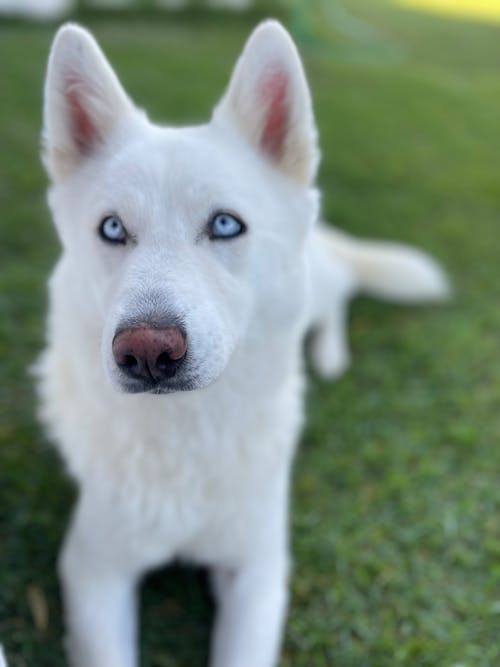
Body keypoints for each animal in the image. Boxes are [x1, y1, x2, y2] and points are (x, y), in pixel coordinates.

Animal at [36, 20, 450, 667]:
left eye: (226, 224)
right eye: (112, 228)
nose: (147, 352)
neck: (186, 436)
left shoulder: (258, 572)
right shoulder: (95, 572)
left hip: (320, 282)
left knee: (339, 294)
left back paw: (329, 355)